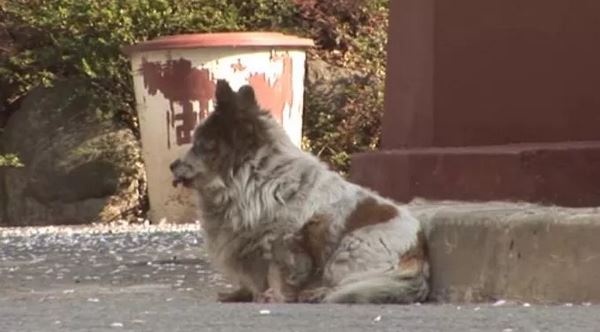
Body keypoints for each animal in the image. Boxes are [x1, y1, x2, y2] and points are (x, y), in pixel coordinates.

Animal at [171, 80, 428, 304]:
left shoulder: (282, 245)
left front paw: (273, 297)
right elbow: (257, 280)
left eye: (201, 145)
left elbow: (278, 276)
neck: (254, 177)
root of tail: (419, 256)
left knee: (346, 284)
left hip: (345, 253)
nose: (172, 164)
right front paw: (243, 295)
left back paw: (316, 294)